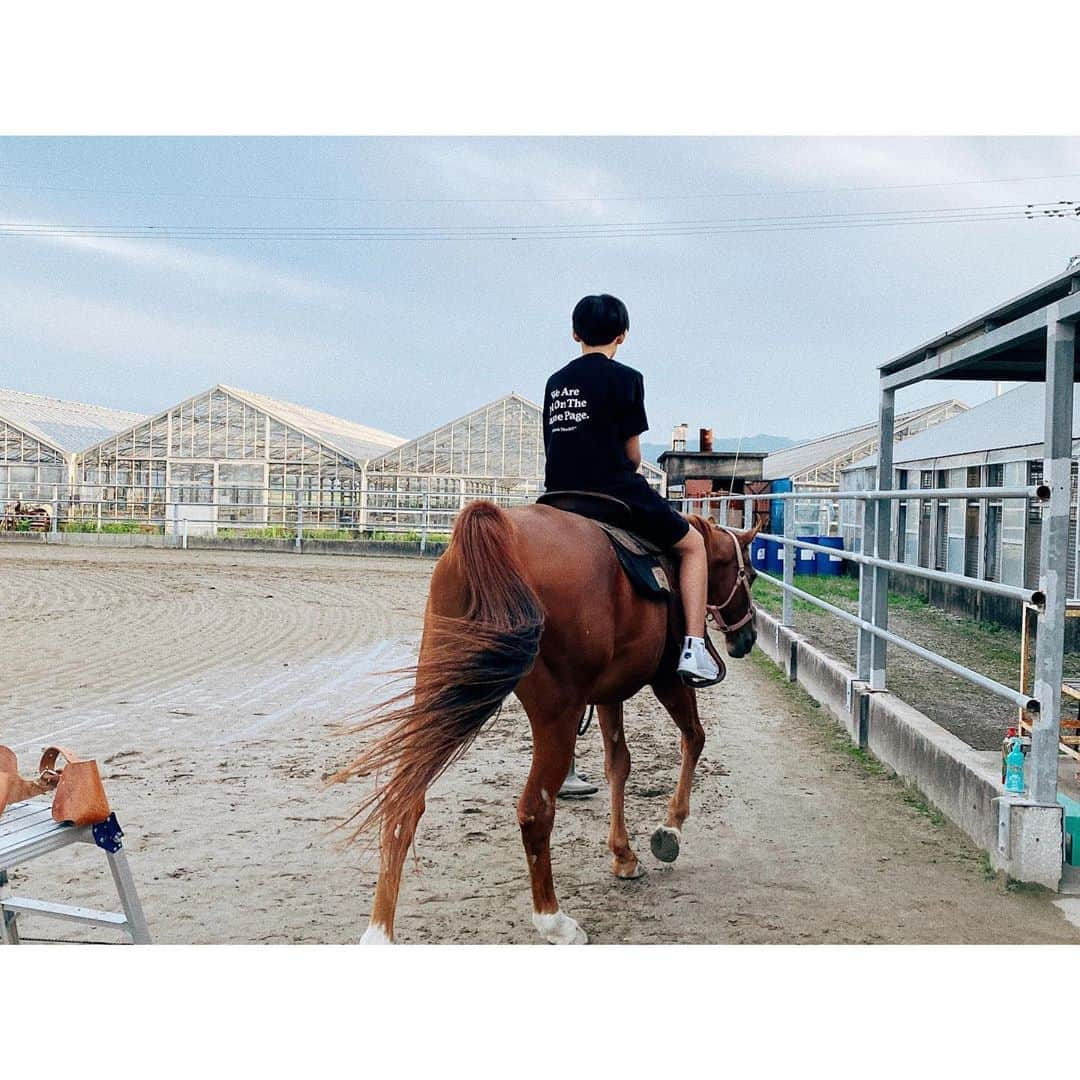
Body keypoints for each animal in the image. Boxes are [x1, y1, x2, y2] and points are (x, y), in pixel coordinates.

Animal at [336, 498, 760, 946]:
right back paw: (553, 920)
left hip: (438, 691)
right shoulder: (668, 680)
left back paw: (379, 930)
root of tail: (498, 529)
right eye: (748, 574)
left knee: (406, 800)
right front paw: (670, 829)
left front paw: (623, 855)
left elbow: (618, 765)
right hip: (557, 715)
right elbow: (693, 738)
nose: (747, 637)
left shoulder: (607, 695)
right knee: (535, 811)